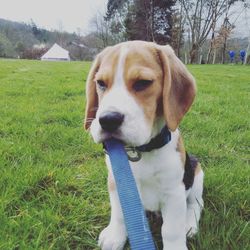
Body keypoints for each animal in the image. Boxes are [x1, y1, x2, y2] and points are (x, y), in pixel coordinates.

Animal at [84, 41, 203, 250]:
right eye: (101, 83)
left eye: (143, 83)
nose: (107, 120)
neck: (140, 151)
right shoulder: (116, 183)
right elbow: (119, 214)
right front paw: (115, 236)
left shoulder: (174, 193)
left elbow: (171, 230)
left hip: (197, 176)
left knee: (196, 204)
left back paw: (189, 224)